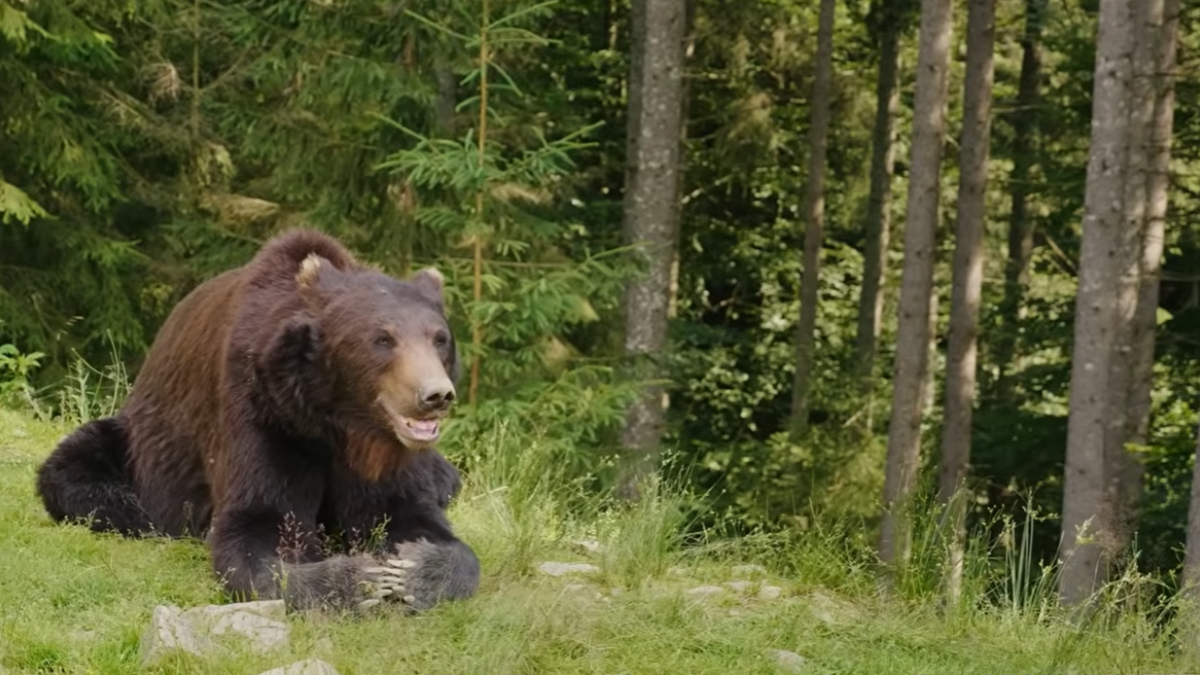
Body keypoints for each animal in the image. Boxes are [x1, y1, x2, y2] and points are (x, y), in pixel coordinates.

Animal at [35, 229, 480, 613]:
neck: (335, 422)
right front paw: (361, 580)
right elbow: (258, 527)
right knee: (80, 473)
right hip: (130, 444)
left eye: (439, 338)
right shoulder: (262, 415)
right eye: (382, 339)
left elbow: (416, 517)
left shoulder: (385, 455)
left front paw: (410, 568)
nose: (435, 395)